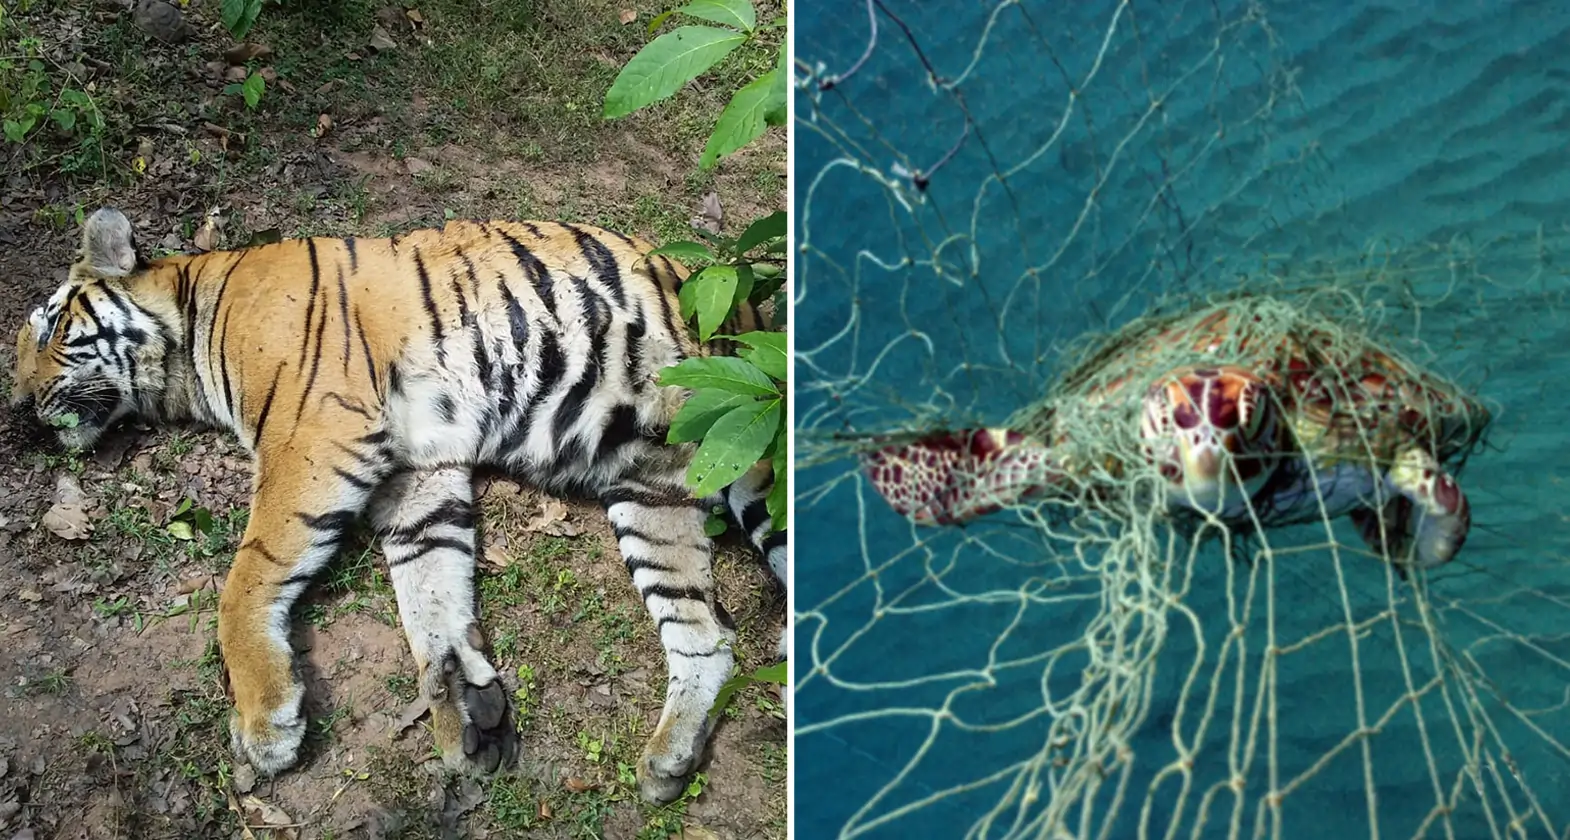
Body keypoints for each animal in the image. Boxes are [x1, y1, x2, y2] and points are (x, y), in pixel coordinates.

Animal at [7, 207, 789, 804]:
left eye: (47, 329)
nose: (16, 410)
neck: (188, 339)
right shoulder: (418, 469)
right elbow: (431, 591)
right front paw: (465, 712)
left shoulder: (314, 433)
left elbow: (247, 577)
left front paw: (266, 722)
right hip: (650, 487)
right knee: (707, 637)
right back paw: (668, 761)